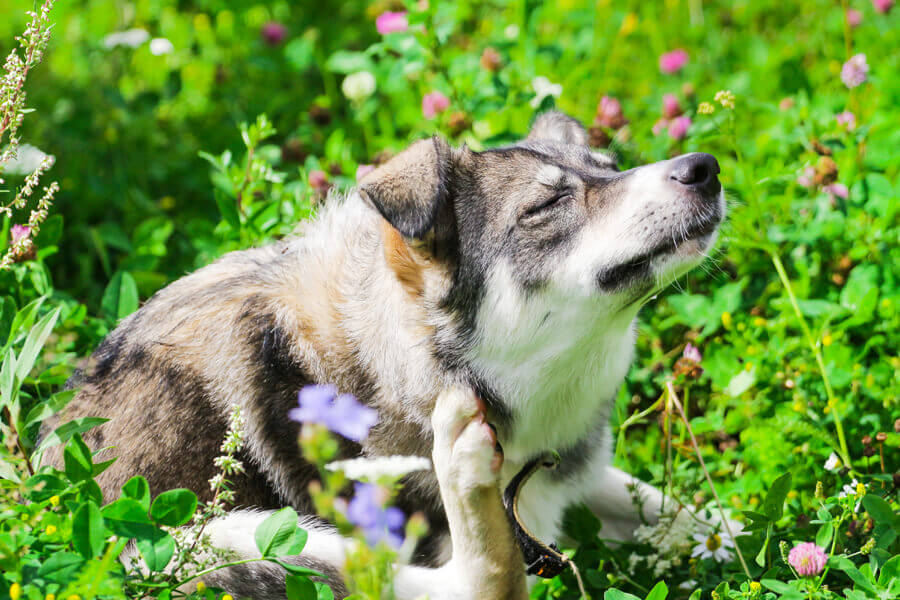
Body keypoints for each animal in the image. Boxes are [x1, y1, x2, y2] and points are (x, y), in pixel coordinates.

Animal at [45, 111, 728, 596]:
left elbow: (692, 516)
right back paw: (464, 467)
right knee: (474, 585)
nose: (705, 167)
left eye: (612, 167)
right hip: (212, 540)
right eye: (547, 205)